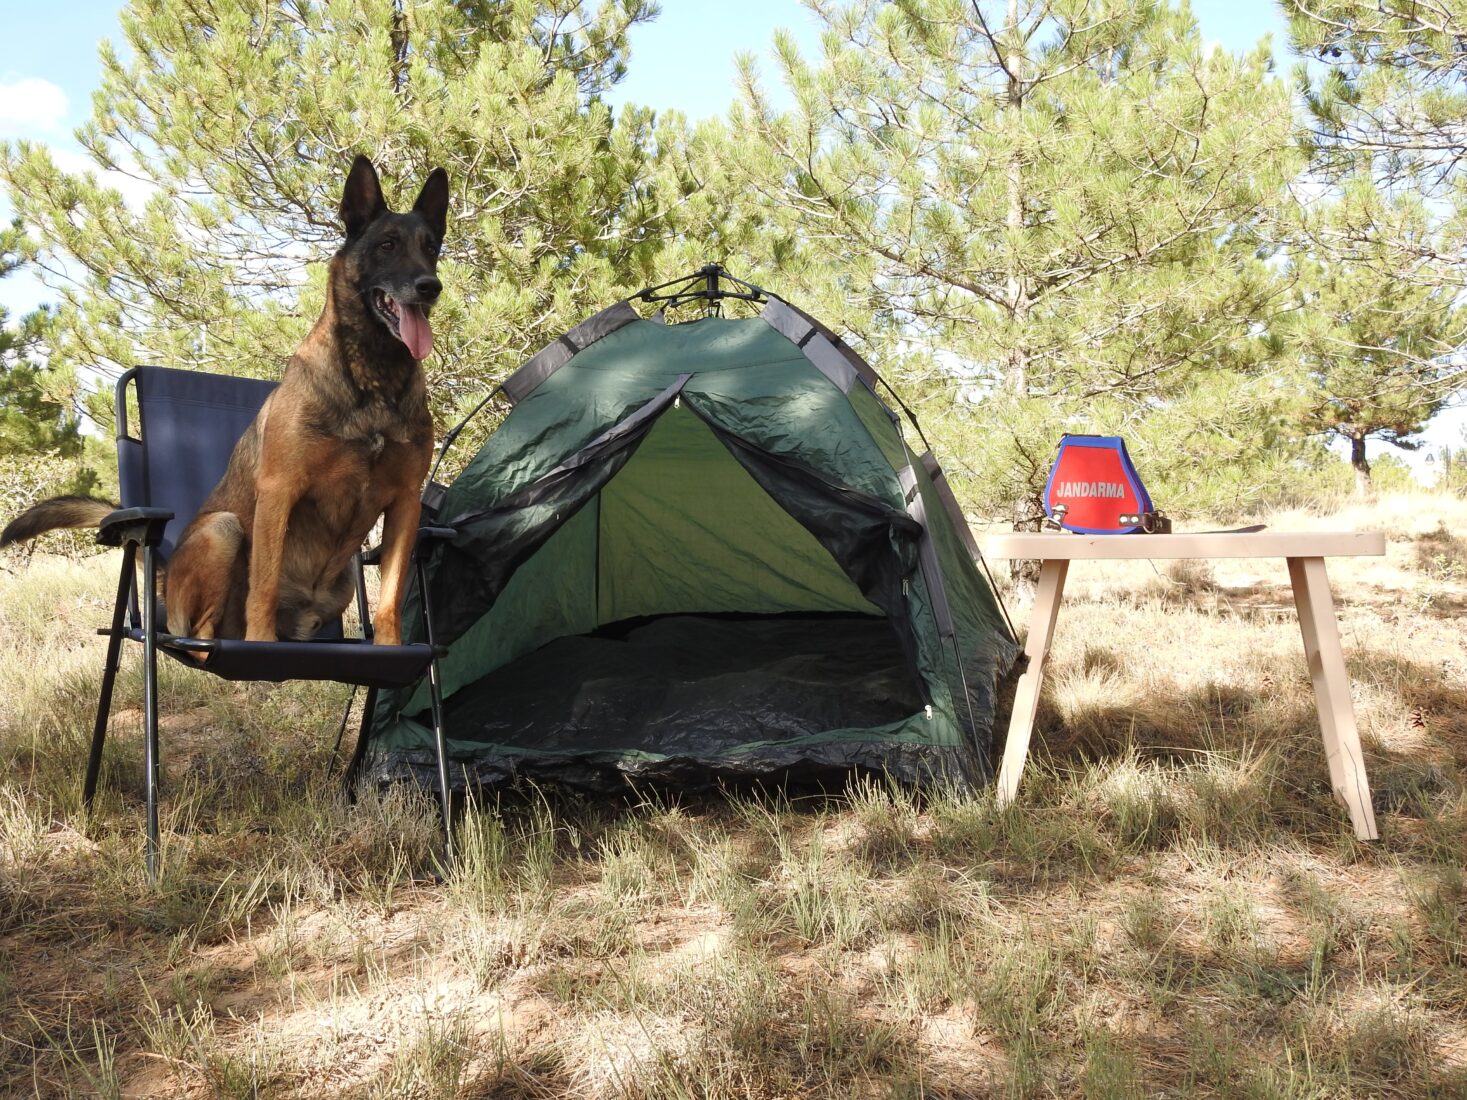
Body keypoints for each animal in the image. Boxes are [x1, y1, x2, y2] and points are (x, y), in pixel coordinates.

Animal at [1, 158, 445, 651]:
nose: (430, 286)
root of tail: (167, 577)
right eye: (387, 245)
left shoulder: (404, 505)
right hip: (223, 530)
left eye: (431, 248)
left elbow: (389, 602)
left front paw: (390, 648)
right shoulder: (279, 491)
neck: (374, 379)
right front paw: (261, 643)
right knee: (200, 634)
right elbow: (263, 587)